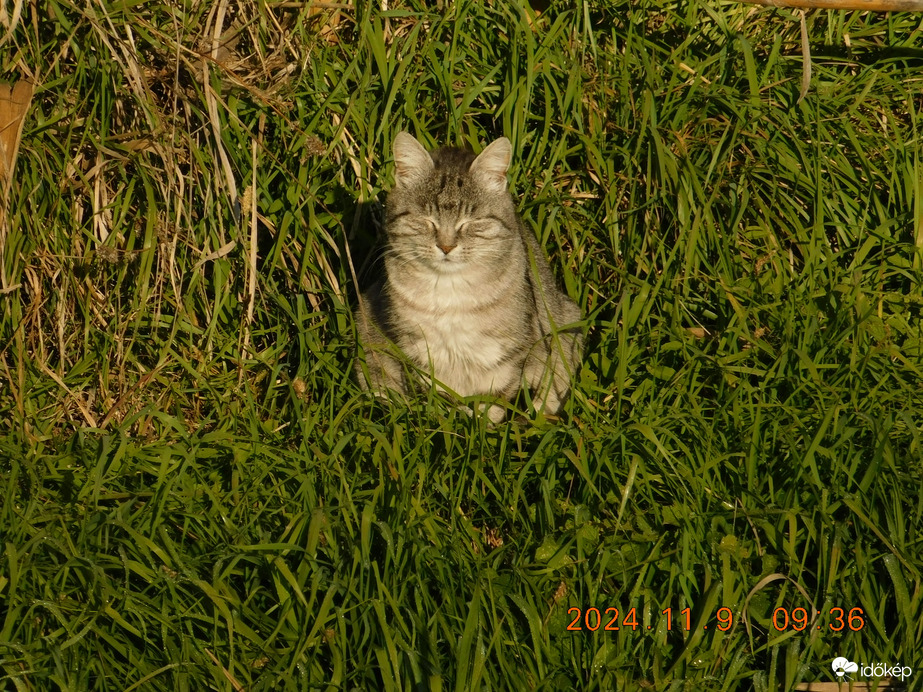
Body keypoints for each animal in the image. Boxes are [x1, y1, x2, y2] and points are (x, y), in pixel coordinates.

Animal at [356, 130, 584, 422]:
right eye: (426, 220)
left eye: (471, 223)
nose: (446, 246)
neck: (450, 293)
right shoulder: (415, 349)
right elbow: (434, 397)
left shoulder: (510, 352)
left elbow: (495, 398)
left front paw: (481, 424)